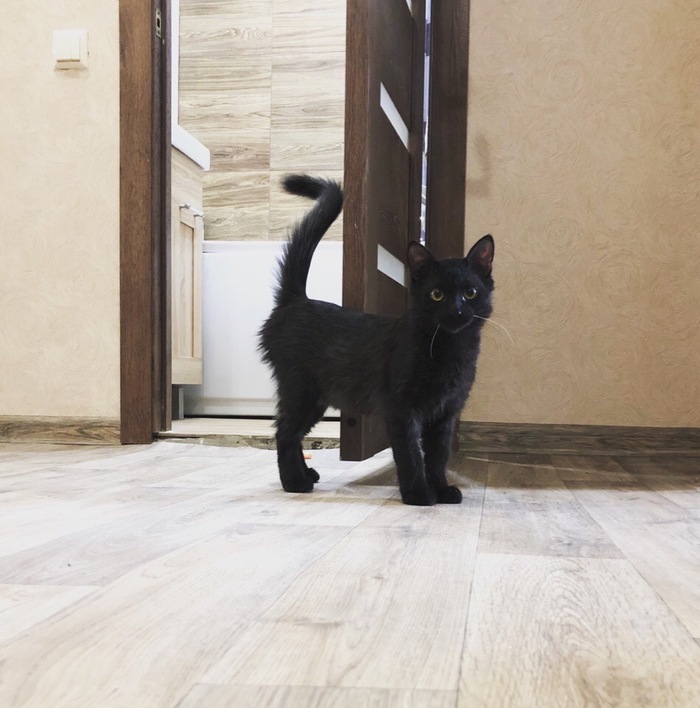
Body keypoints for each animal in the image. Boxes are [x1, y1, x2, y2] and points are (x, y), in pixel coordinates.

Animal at [259, 174, 494, 506]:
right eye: (437, 294)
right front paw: (418, 494)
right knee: (285, 432)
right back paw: (295, 482)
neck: (449, 349)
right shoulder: (402, 411)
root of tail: (296, 301)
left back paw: (307, 475)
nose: (457, 311)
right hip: (301, 389)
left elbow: (438, 457)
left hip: (317, 397)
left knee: (293, 433)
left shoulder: (444, 416)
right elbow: (410, 455)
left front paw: (441, 489)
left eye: (470, 292)